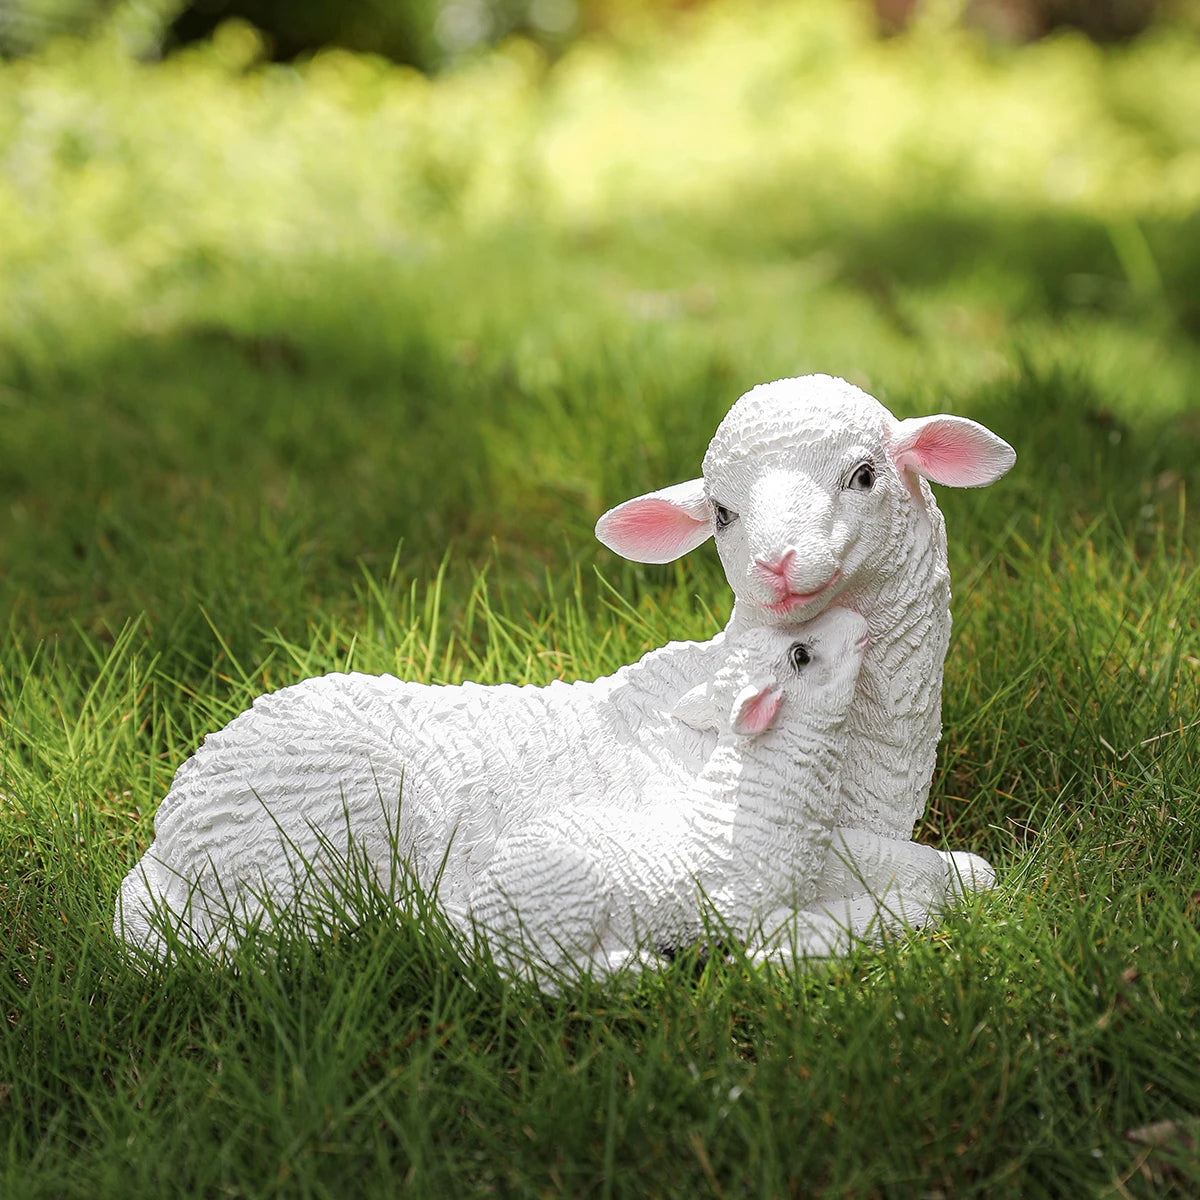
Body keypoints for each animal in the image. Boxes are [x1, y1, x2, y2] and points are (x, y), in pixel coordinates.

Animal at [459, 608, 869, 980]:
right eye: (801, 655)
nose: (858, 619)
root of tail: (483, 913)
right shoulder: (740, 910)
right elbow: (832, 941)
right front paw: (758, 963)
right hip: (565, 903)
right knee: (539, 977)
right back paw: (638, 969)